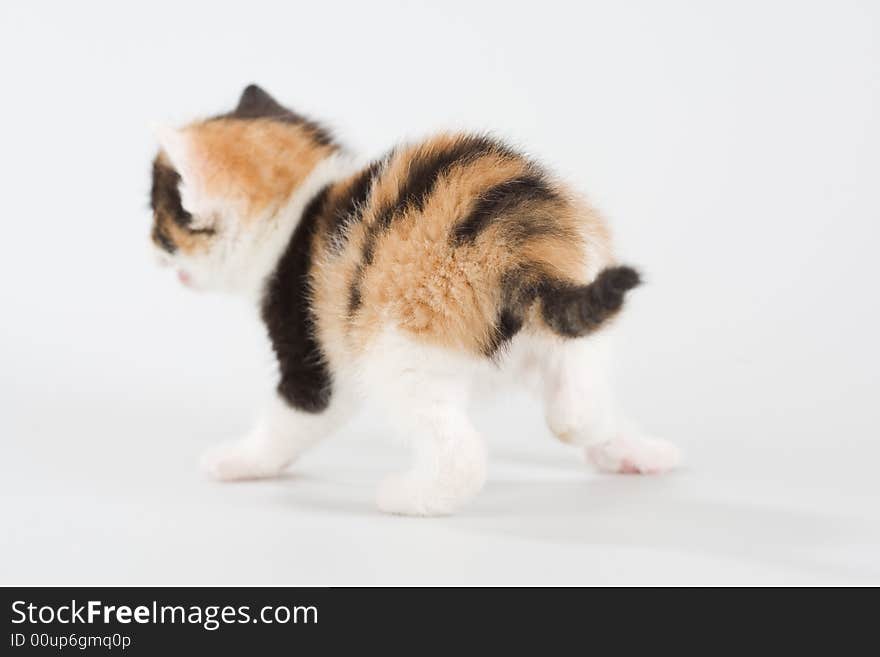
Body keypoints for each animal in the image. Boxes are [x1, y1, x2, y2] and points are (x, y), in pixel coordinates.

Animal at [150, 83, 680, 512]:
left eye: (158, 217)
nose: (150, 246)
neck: (300, 208)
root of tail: (520, 253)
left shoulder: (314, 357)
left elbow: (291, 420)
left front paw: (237, 461)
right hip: (571, 301)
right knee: (581, 403)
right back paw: (630, 447)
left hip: (399, 347)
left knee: (464, 455)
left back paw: (409, 497)